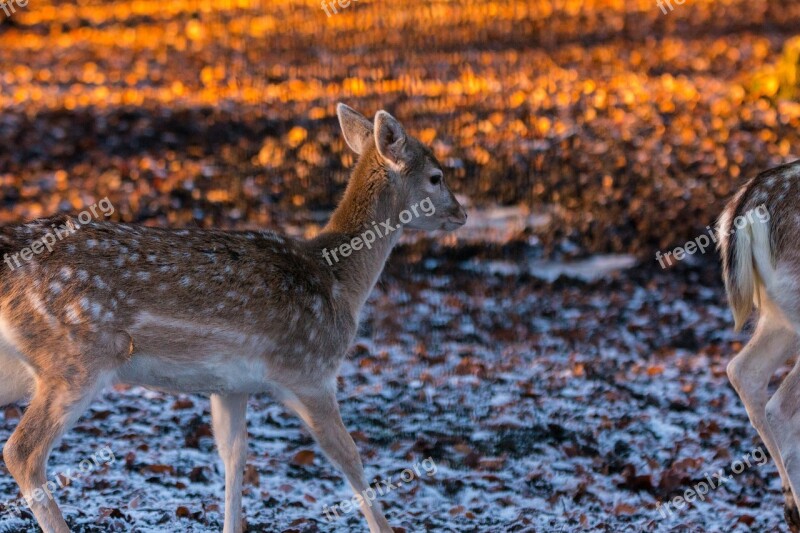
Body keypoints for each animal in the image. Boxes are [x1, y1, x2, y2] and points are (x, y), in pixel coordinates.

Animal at [0, 105, 468, 532]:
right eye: (436, 176)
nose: (462, 214)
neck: (340, 282)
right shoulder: (311, 372)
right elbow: (351, 460)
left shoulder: (230, 386)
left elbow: (234, 456)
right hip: (77, 355)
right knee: (22, 451)